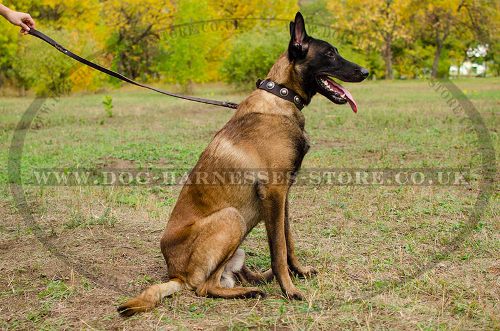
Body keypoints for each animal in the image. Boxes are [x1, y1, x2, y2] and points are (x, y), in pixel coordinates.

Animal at [117, 11, 368, 316]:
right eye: (330, 54)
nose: (365, 72)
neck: (281, 96)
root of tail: (174, 274)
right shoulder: (274, 192)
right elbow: (278, 249)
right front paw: (290, 290)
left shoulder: (283, 196)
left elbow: (288, 242)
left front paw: (297, 272)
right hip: (232, 218)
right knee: (204, 287)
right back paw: (249, 290)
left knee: (231, 276)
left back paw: (259, 280)